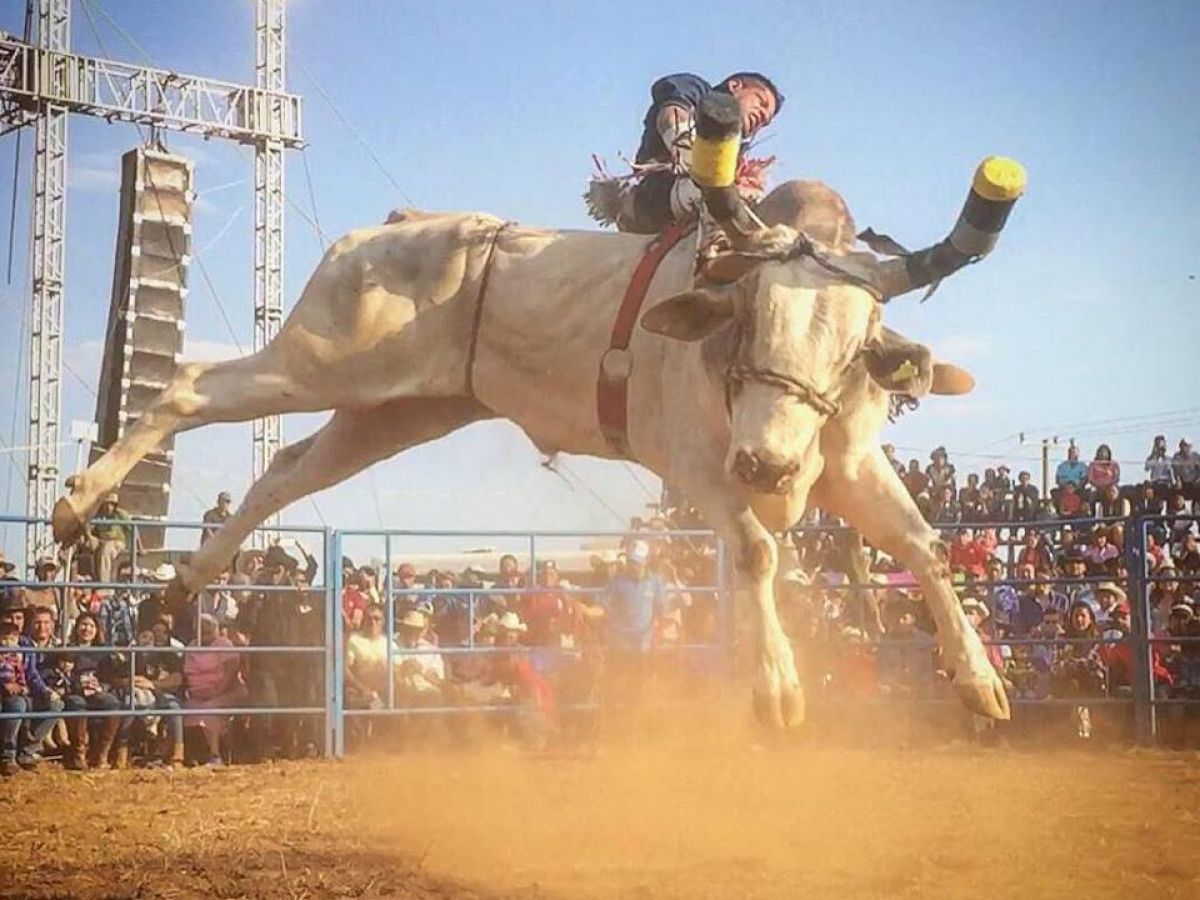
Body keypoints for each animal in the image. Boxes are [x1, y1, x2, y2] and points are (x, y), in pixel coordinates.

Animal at [51, 93, 1027, 724]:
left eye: (855, 345)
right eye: (749, 315)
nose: (767, 465)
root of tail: (392, 225)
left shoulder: (849, 466)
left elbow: (925, 546)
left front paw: (980, 683)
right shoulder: (698, 467)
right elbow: (755, 548)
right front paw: (777, 688)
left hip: (395, 412)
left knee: (285, 474)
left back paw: (173, 590)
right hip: (320, 364)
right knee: (190, 389)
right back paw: (75, 510)